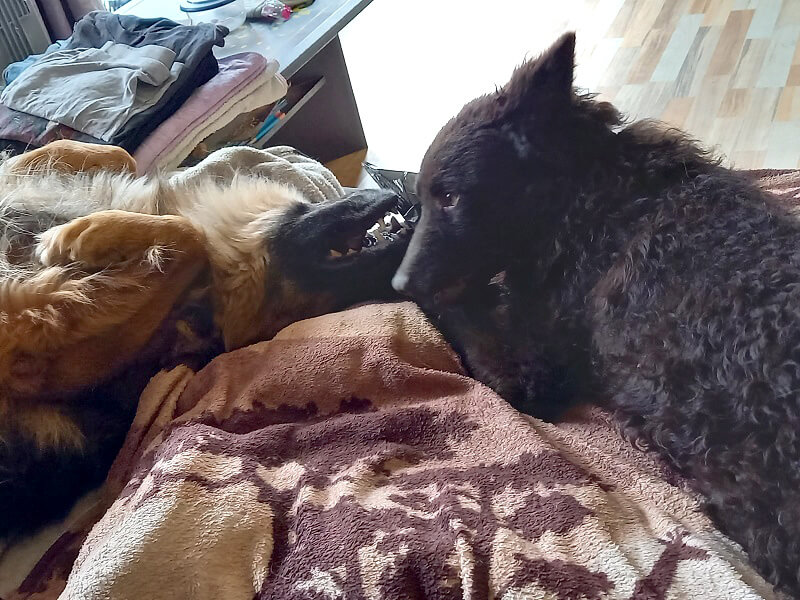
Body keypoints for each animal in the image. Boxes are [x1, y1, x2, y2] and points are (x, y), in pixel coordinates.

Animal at [392, 33, 800, 595]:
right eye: (423, 199)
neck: (588, 204)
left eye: (449, 197)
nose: (399, 284)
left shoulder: (530, 375)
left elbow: (454, 309)